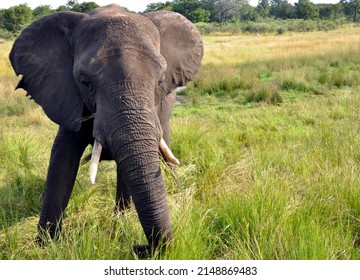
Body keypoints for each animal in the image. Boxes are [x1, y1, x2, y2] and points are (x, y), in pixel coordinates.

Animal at [9, 3, 202, 256]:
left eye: (159, 81)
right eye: (85, 82)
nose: (140, 247)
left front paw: (120, 226)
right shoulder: (67, 95)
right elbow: (62, 159)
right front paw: (45, 246)